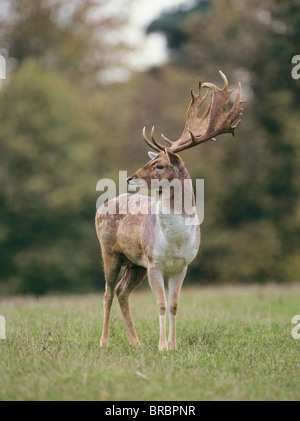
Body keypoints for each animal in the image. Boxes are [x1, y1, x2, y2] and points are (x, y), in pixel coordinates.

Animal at [95, 70, 245, 350]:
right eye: (152, 160)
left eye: (160, 165)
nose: (130, 177)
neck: (175, 241)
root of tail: (102, 206)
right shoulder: (154, 261)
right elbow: (161, 304)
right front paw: (163, 346)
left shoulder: (182, 265)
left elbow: (174, 305)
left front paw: (173, 346)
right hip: (110, 251)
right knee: (108, 292)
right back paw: (104, 341)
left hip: (135, 264)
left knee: (121, 291)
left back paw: (136, 343)